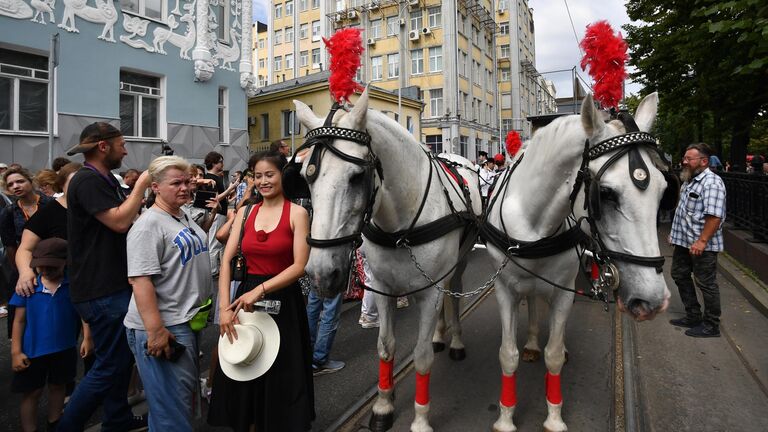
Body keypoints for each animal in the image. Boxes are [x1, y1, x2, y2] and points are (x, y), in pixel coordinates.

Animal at [294, 88, 480, 432]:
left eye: (356, 177)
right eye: (305, 178)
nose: (322, 275)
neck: (402, 224)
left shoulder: (429, 291)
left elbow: (420, 355)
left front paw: (420, 419)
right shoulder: (382, 287)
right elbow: (385, 346)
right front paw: (382, 405)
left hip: (459, 261)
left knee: (455, 291)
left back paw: (456, 341)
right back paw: (440, 335)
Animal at [488, 93, 668, 430]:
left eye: (663, 190)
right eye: (606, 193)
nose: (651, 300)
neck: (533, 224)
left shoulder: (563, 292)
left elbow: (555, 354)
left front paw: (554, 417)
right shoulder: (504, 290)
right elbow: (507, 354)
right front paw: (505, 417)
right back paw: (531, 344)